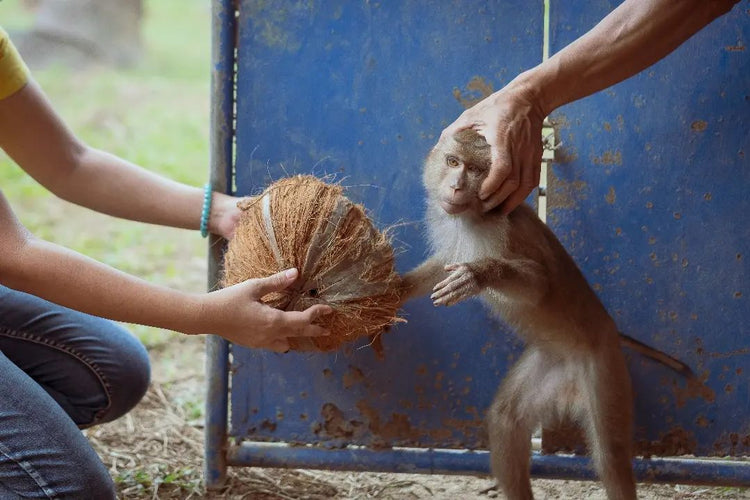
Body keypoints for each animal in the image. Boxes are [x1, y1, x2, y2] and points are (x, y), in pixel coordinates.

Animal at [402, 130, 692, 500]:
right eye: (453, 162)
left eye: (475, 170)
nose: (455, 186)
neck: (472, 217)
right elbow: (442, 266)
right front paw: (393, 288)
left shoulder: (502, 233)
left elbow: (537, 285)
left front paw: (480, 274)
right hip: (552, 364)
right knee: (506, 420)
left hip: (603, 365)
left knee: (611, 457)